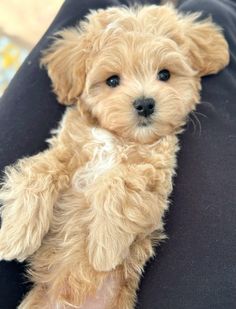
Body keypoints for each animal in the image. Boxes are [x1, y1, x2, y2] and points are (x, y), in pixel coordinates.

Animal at [0, 3, 229, 308]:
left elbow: (120, 181)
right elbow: (39, 169)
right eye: (112, 80)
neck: (117, 137)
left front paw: (105, 248)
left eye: (165, 74)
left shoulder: (154, 171)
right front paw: (14, 236)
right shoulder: (66, 149)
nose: (145, 104)